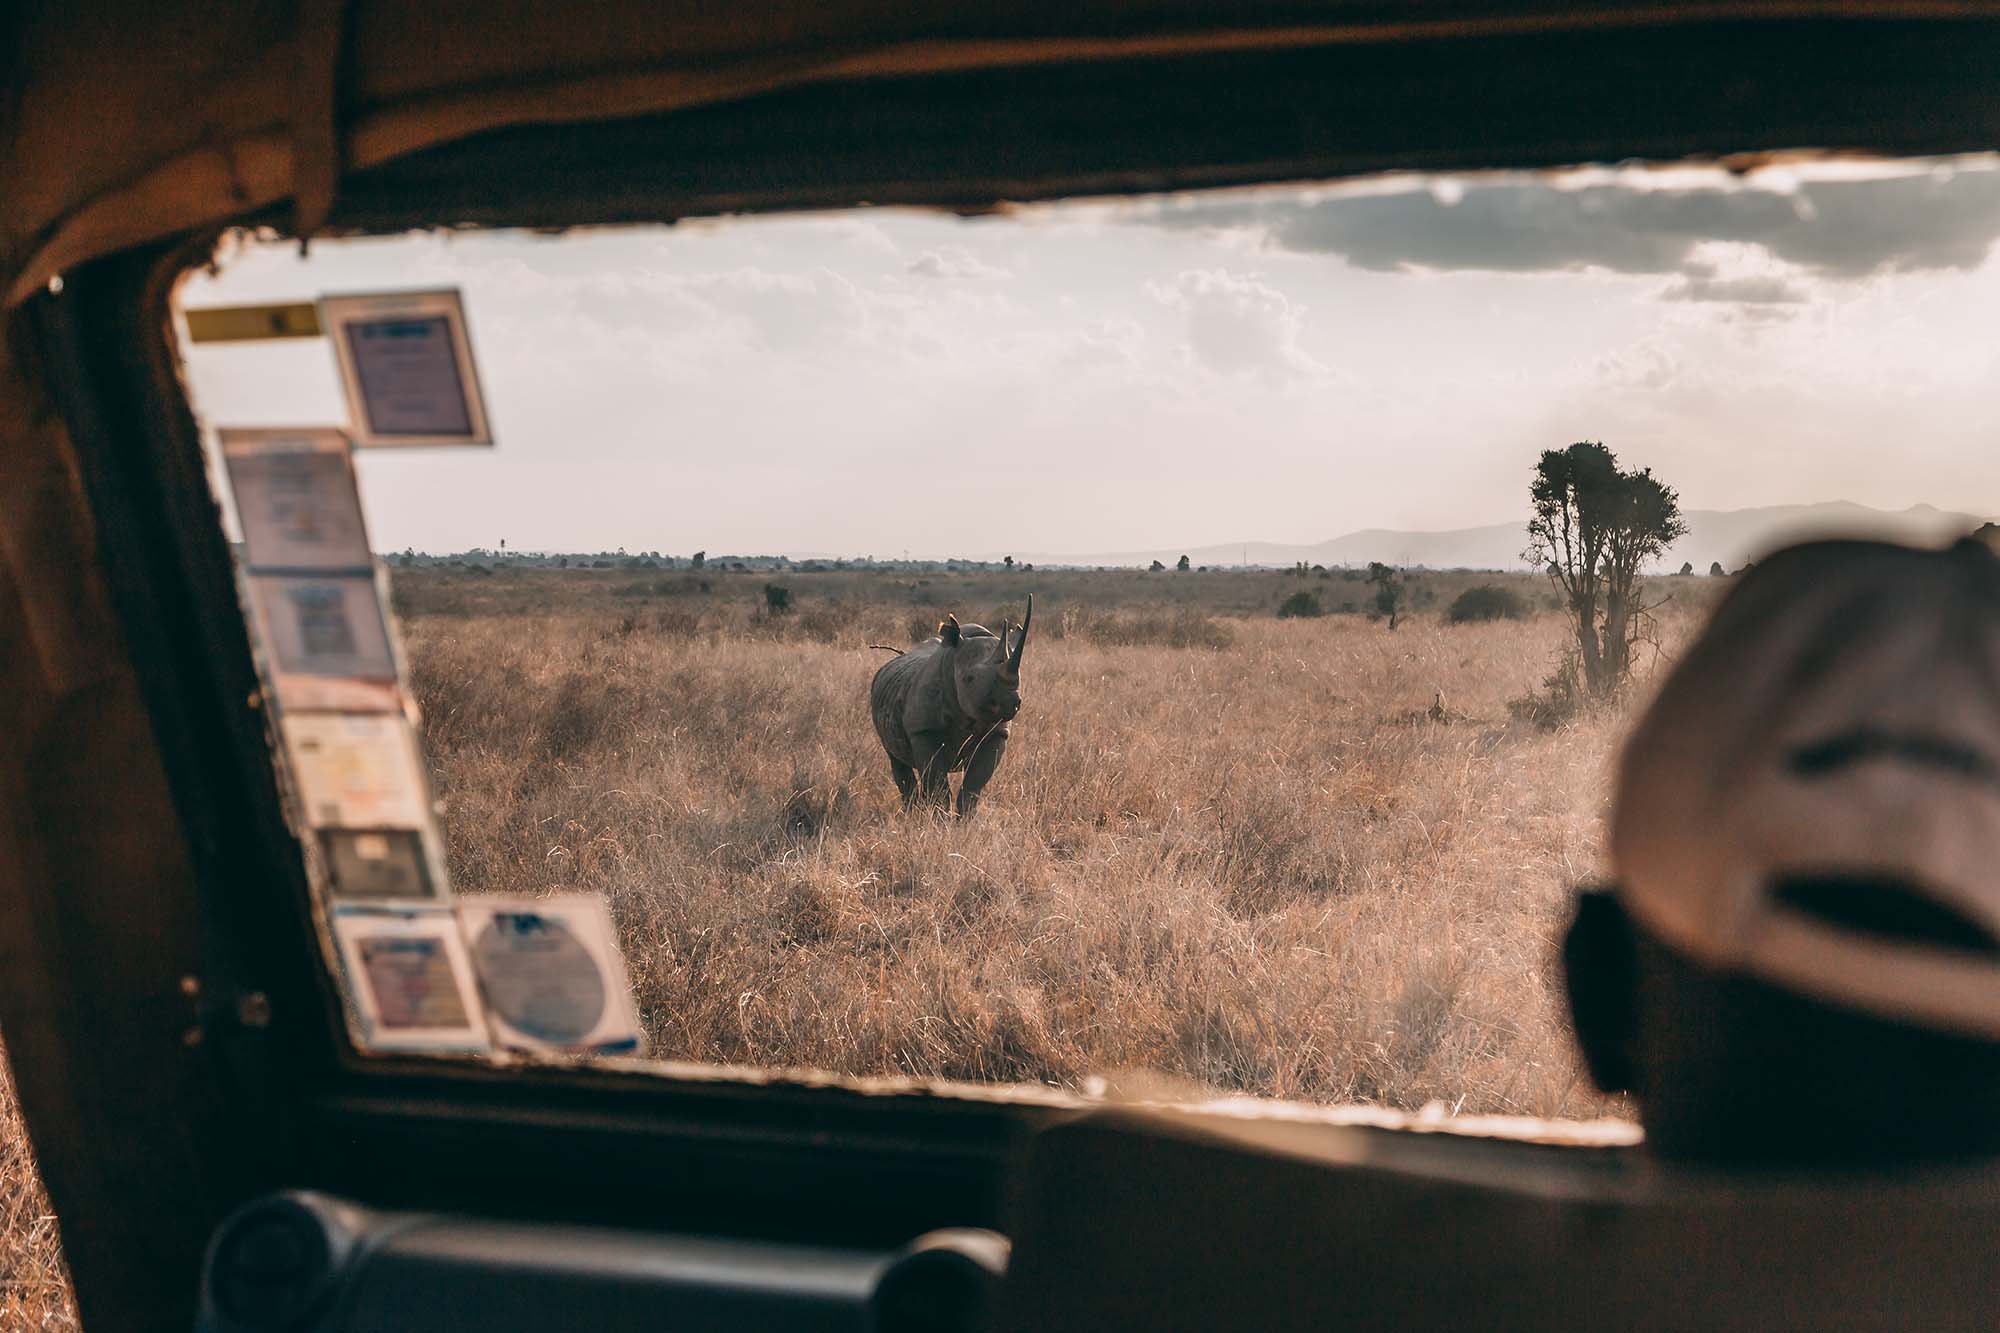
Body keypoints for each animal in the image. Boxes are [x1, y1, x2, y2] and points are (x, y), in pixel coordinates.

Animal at [869, 594, 1031, 817]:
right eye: (969, 679)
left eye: (1020, 679)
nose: (1010, 702)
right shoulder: (923, 730)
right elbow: (938, 785)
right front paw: (940, 820)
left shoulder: (997, 733)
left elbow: (973, 785)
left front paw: (966, 820)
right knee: (898, 761)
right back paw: (911, 813)